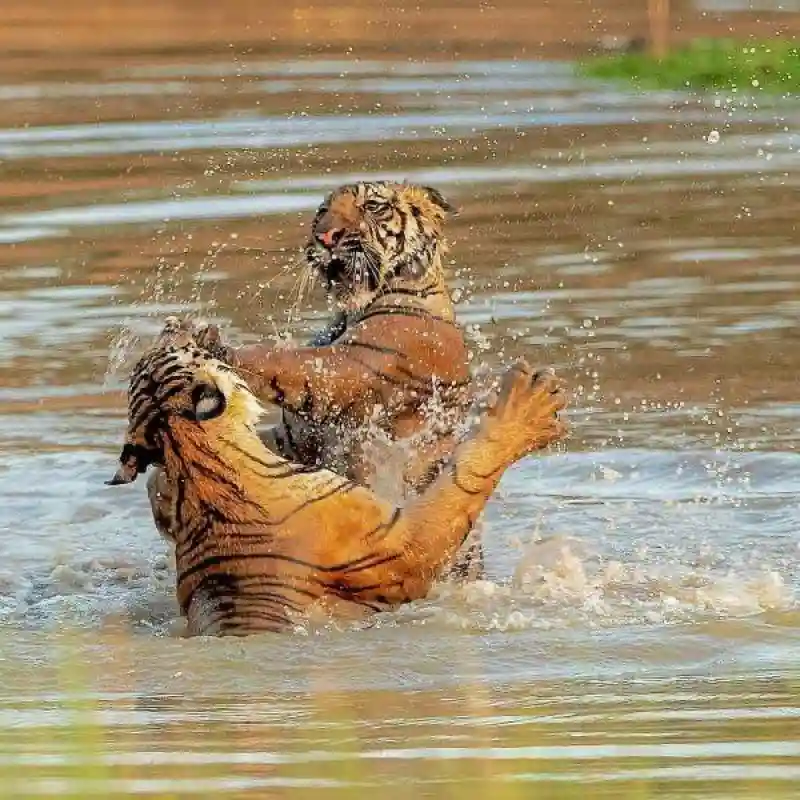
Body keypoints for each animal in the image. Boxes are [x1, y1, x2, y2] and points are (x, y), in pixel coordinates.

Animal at [108, 318, 568, 636]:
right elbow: (465, 477)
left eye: (169, 345)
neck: (197, 467)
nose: (172, 323)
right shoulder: (404, 543)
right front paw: (528, 404)